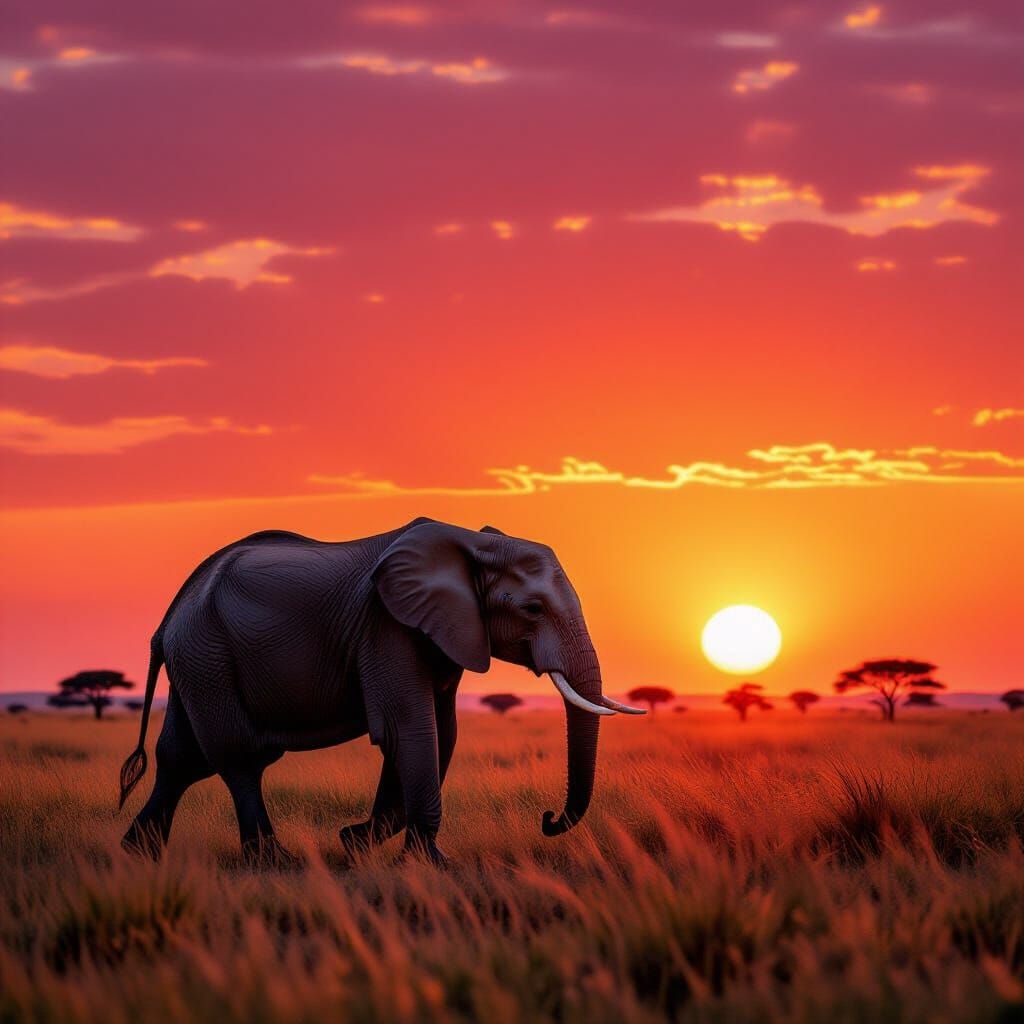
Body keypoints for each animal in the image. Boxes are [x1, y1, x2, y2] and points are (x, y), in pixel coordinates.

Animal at [119, 518, 644, 866]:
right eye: (533, 609)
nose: (548, 818)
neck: (472, 544)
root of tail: (171, 613)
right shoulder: (386, 625)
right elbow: (409, 729)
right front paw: (431, 866)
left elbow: (439, 732)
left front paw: (354, 841)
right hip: (207, 652)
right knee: (240, 758)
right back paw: (273, 862)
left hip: (199, 660)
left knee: (182, 758)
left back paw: (138, 855)